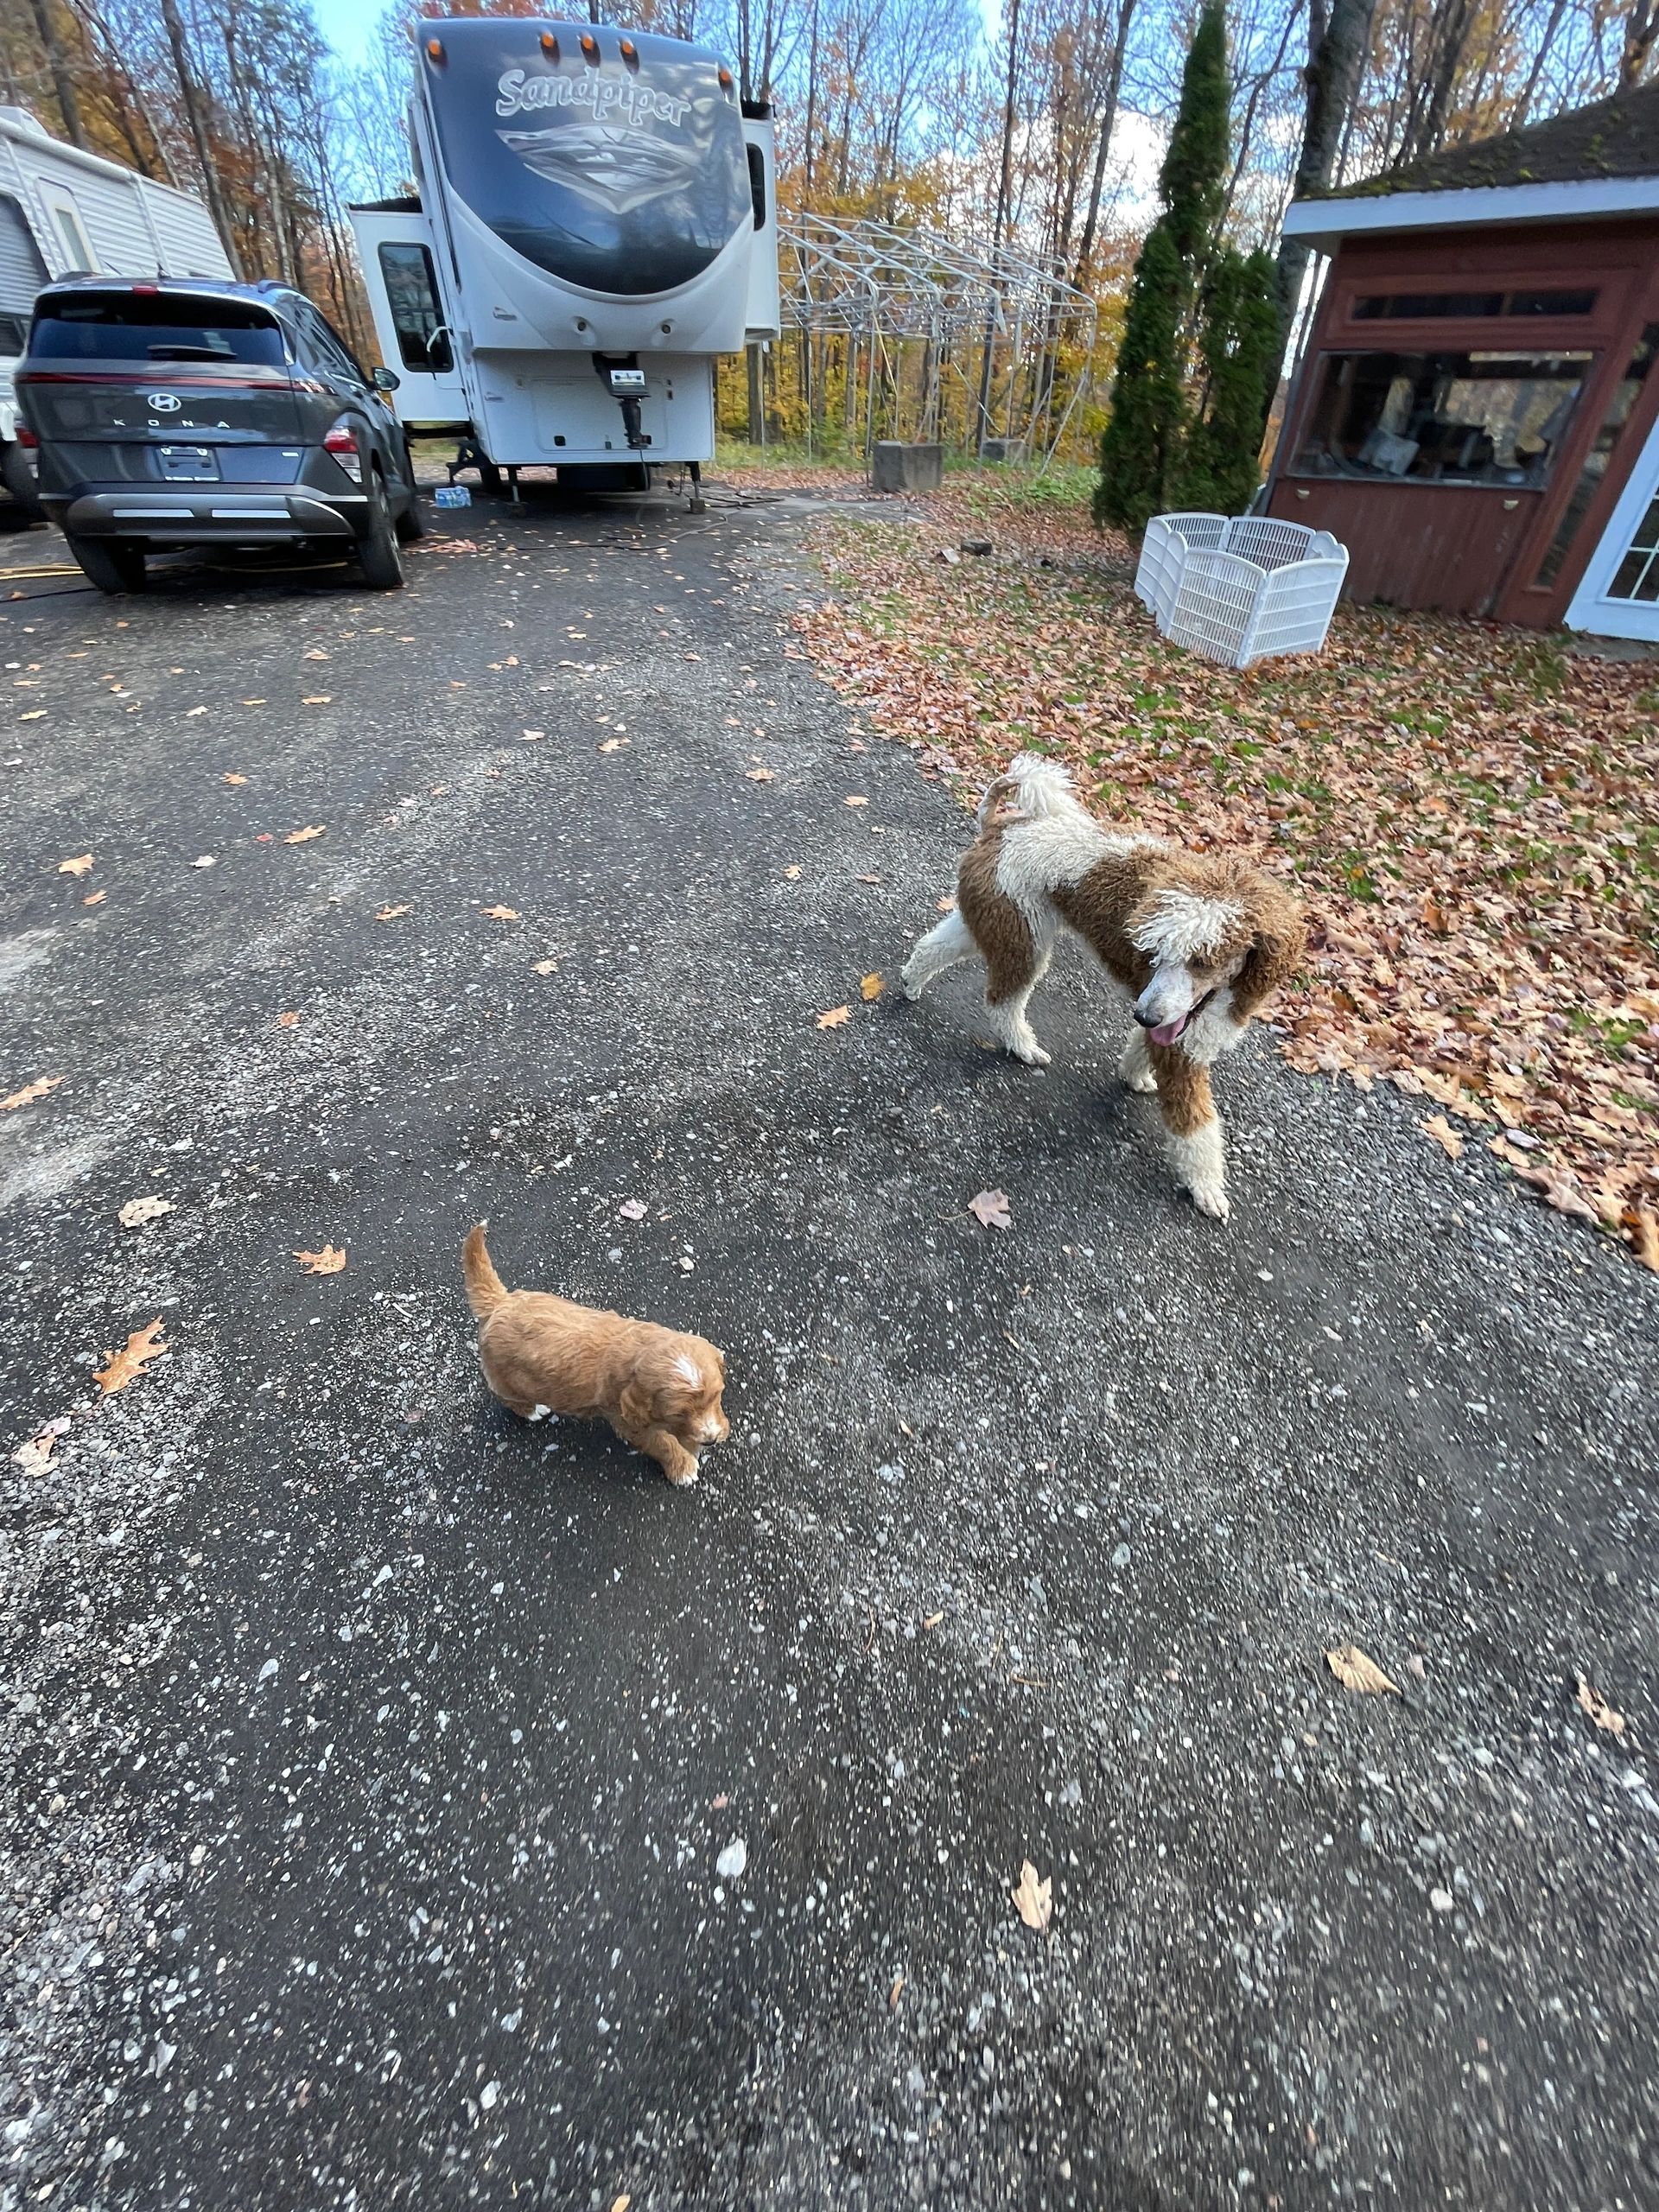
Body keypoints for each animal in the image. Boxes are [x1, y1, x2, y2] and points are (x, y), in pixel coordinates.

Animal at [461, 1224, 729, 1485]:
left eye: (716, 1396)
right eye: (679, 1413)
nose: (710, 1440)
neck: (639, 1350)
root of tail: (499, 1302)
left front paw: (693, 1445)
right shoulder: (629, 1422)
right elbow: (662, 1443)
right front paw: (683, 1466)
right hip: (507, 1380)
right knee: (507, 1397)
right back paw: (533, 1410)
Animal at [901, 754, 1306, 1219]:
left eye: (1201, 960)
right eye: (1155, 951)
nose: (1143, 1014)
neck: (1227, 992)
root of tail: (999, 824)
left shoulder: (1167, 1024)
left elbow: (1141, 1047)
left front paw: (1134, 1075)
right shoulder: (1181, 1055)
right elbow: (1195, 1130)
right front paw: (1206, 1188)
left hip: (994, 923)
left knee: (934, 947)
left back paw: (911, 981)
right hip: (1022, 941)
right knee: (1002, 1002)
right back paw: (1022, 1047)